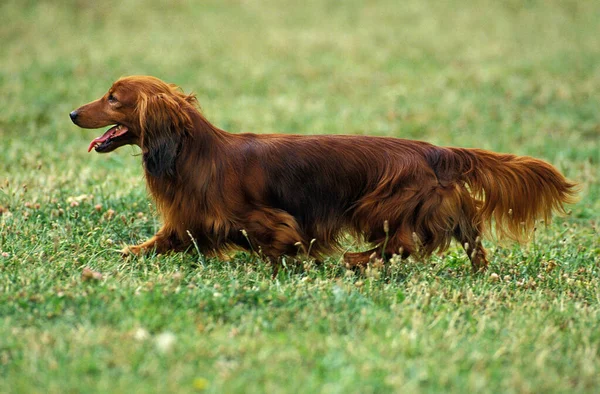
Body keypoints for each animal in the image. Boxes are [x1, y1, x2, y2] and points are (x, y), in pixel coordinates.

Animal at [70, 75, 576, 272]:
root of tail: (435, 151)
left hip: (376, 203)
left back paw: (356, 260)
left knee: (401, 243)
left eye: (114, 98)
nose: (73, 113)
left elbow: (279, 240)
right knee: (465, 238)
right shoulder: (188, 223)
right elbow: (157, 243)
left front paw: (292, 261)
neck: (193, 152)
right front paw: (127, 252)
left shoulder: (268, 219)